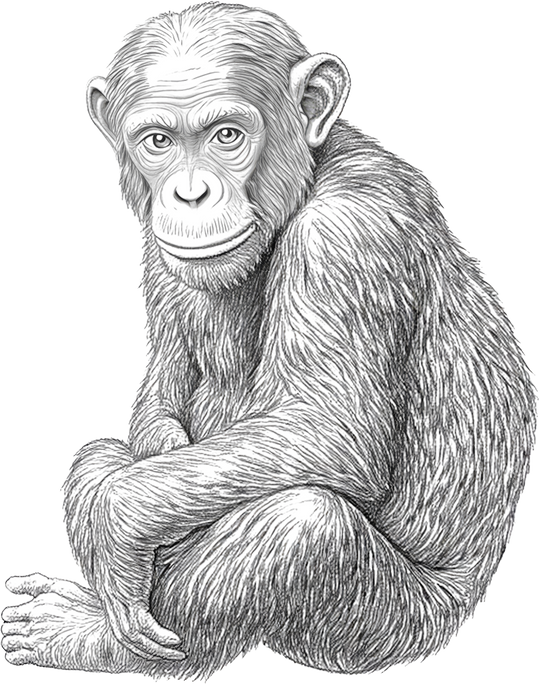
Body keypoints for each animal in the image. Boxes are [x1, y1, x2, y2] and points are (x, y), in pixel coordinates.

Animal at [2, 3, 537, 682]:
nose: (190, 193)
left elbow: (329, 428)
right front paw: (149, 472)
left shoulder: (347, 237)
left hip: (391, 629)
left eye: (227, 135)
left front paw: (118, 523)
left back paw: (87, 635)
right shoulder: (157, 243)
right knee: (96, 454)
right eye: (158, 142)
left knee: (304, 526)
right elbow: (159, 394)